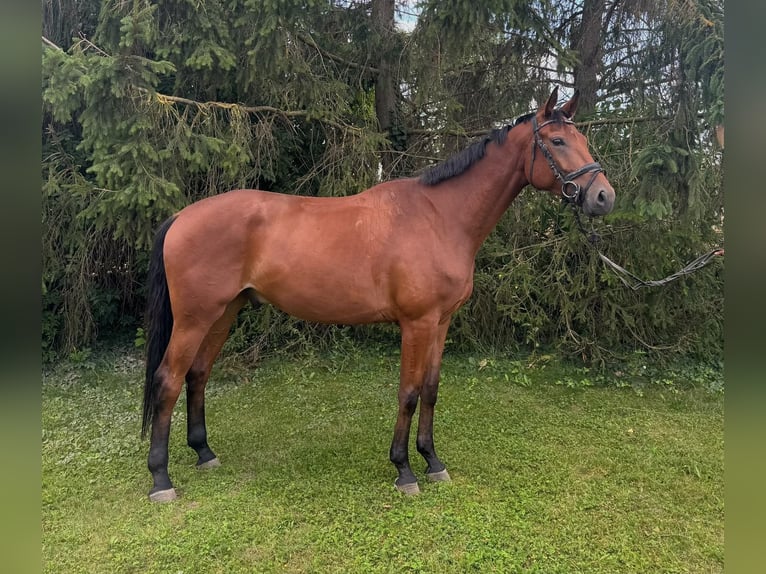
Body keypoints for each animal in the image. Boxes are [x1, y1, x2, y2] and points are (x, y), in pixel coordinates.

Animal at [142, 87, 615, 502]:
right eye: (557, 140)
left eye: (583, 139)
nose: (603, 196)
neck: (440, 217)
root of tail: (182, 216)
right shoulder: (416, 324)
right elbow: (408, 393)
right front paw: (404, 470)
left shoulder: (441, 322)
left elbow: (431, 389)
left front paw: (432, 461)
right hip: (194, 318)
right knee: (168, 380)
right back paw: (161, 480)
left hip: (223, 313)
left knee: (198, 374)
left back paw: (204, 452)